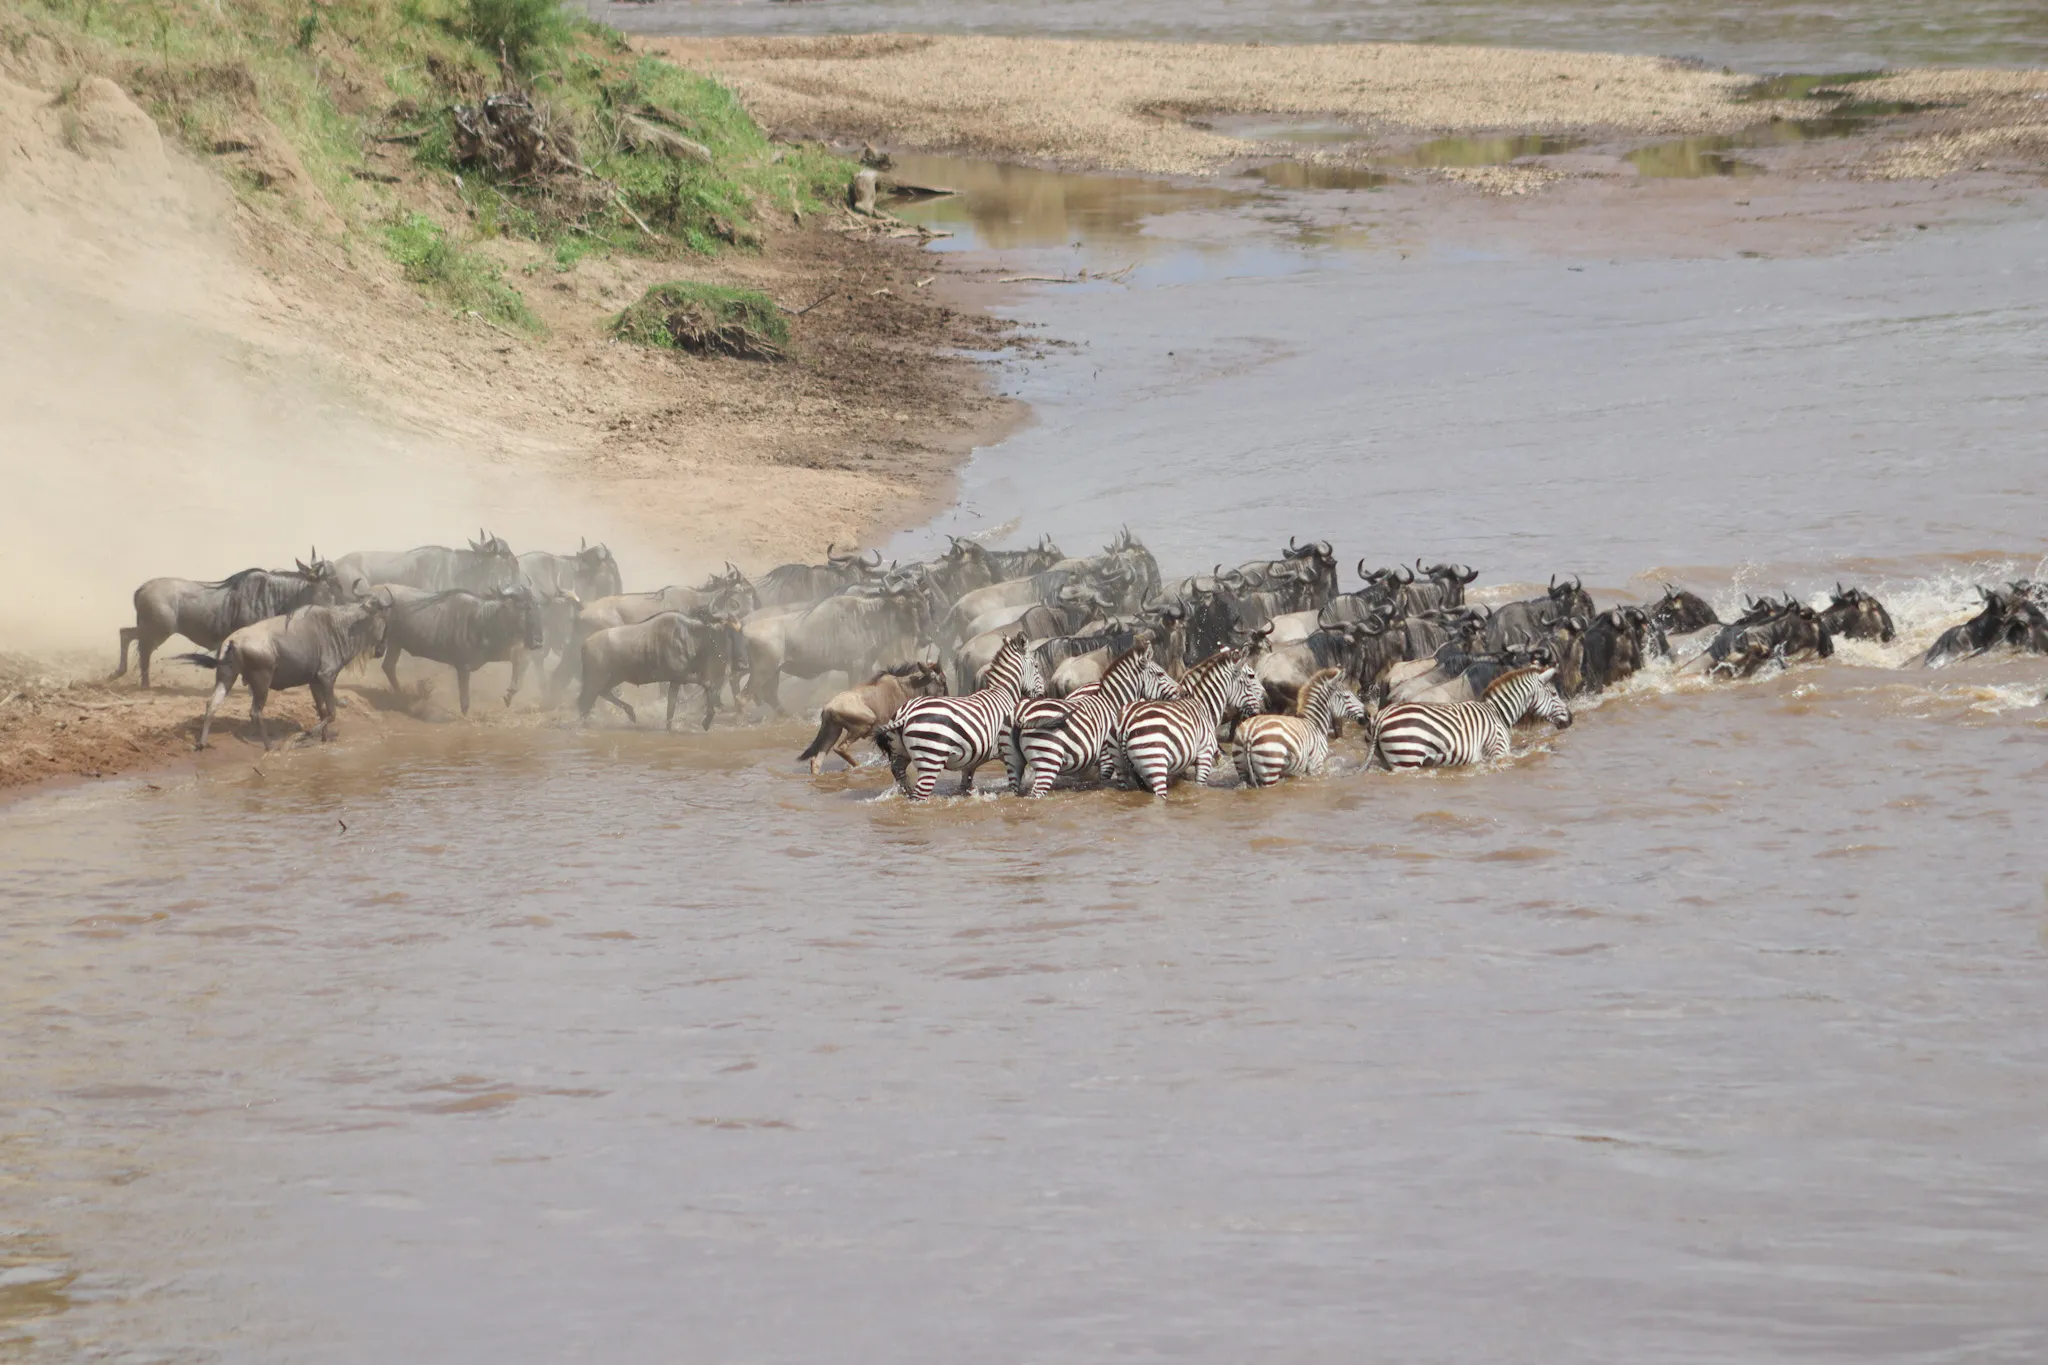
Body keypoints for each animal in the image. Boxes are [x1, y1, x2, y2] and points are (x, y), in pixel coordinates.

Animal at [874, 633, 1045, 801]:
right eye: (1036, 666)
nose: (1042, 695)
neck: (1004, 693)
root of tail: (906, 714)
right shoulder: (1009, 750)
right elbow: (1017, 781)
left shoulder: (972, 759)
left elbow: (965, 785)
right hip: (931, 759)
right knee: (919, 794)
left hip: (899, 754)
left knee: (899, 774)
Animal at [1003, 641, 1180, 798]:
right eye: (1161, 674)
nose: (1182, 691)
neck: (1114, 703)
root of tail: (1021, 716)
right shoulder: (1107, 754)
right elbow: (1108, 779)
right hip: (1048, 760)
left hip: (1014, 761)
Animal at [1108, 648, 1265, 797]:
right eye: (1251, 676)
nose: (1262, 706)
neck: (1203, 706)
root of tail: (1126, 723)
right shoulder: (1204, 755)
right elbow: (1200, 785)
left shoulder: (1181, 767)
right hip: (1155, 762)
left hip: (1120, 764)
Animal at [1235, 667, 1366, 788]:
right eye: (1347, 697)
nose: (1367, 715)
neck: (1316, 724)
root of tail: (1249, 733)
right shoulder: (1316, 765)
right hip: (1270, 768)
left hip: (1242, 769)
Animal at [1370, 665, 1572, 770]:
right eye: (1554, 693)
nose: (1571, 719)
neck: (1498, 713)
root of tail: (1381, 717)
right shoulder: (1497, 752)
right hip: (1407, 759)